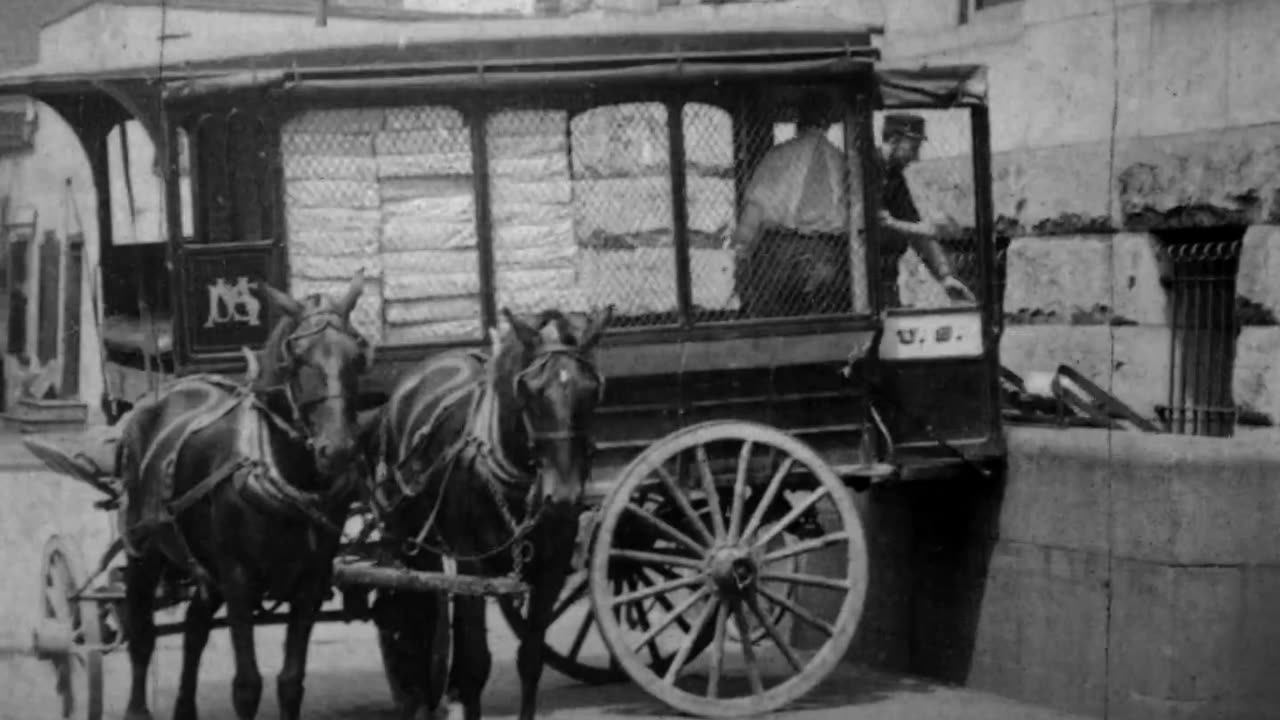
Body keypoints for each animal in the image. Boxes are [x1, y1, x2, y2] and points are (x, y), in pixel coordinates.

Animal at [119, 270, 373, 717]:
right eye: (297, 359)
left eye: (357, 356)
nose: (339, 448)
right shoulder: (238, 578)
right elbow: (247, 685)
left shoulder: (311, 581)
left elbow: (290, 682)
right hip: (143, 547)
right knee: (142, 633)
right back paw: (138, 705)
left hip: (203, 563)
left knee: (195, 628)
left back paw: (185, 707)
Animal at [368, 303, 611, 717]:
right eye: (529, 390)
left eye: (591, 390)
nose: (561, 496)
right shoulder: (473, 565)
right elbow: (475, 666)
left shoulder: (552, 567)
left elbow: (530, 660)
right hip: (403, 529)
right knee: (406, 605)